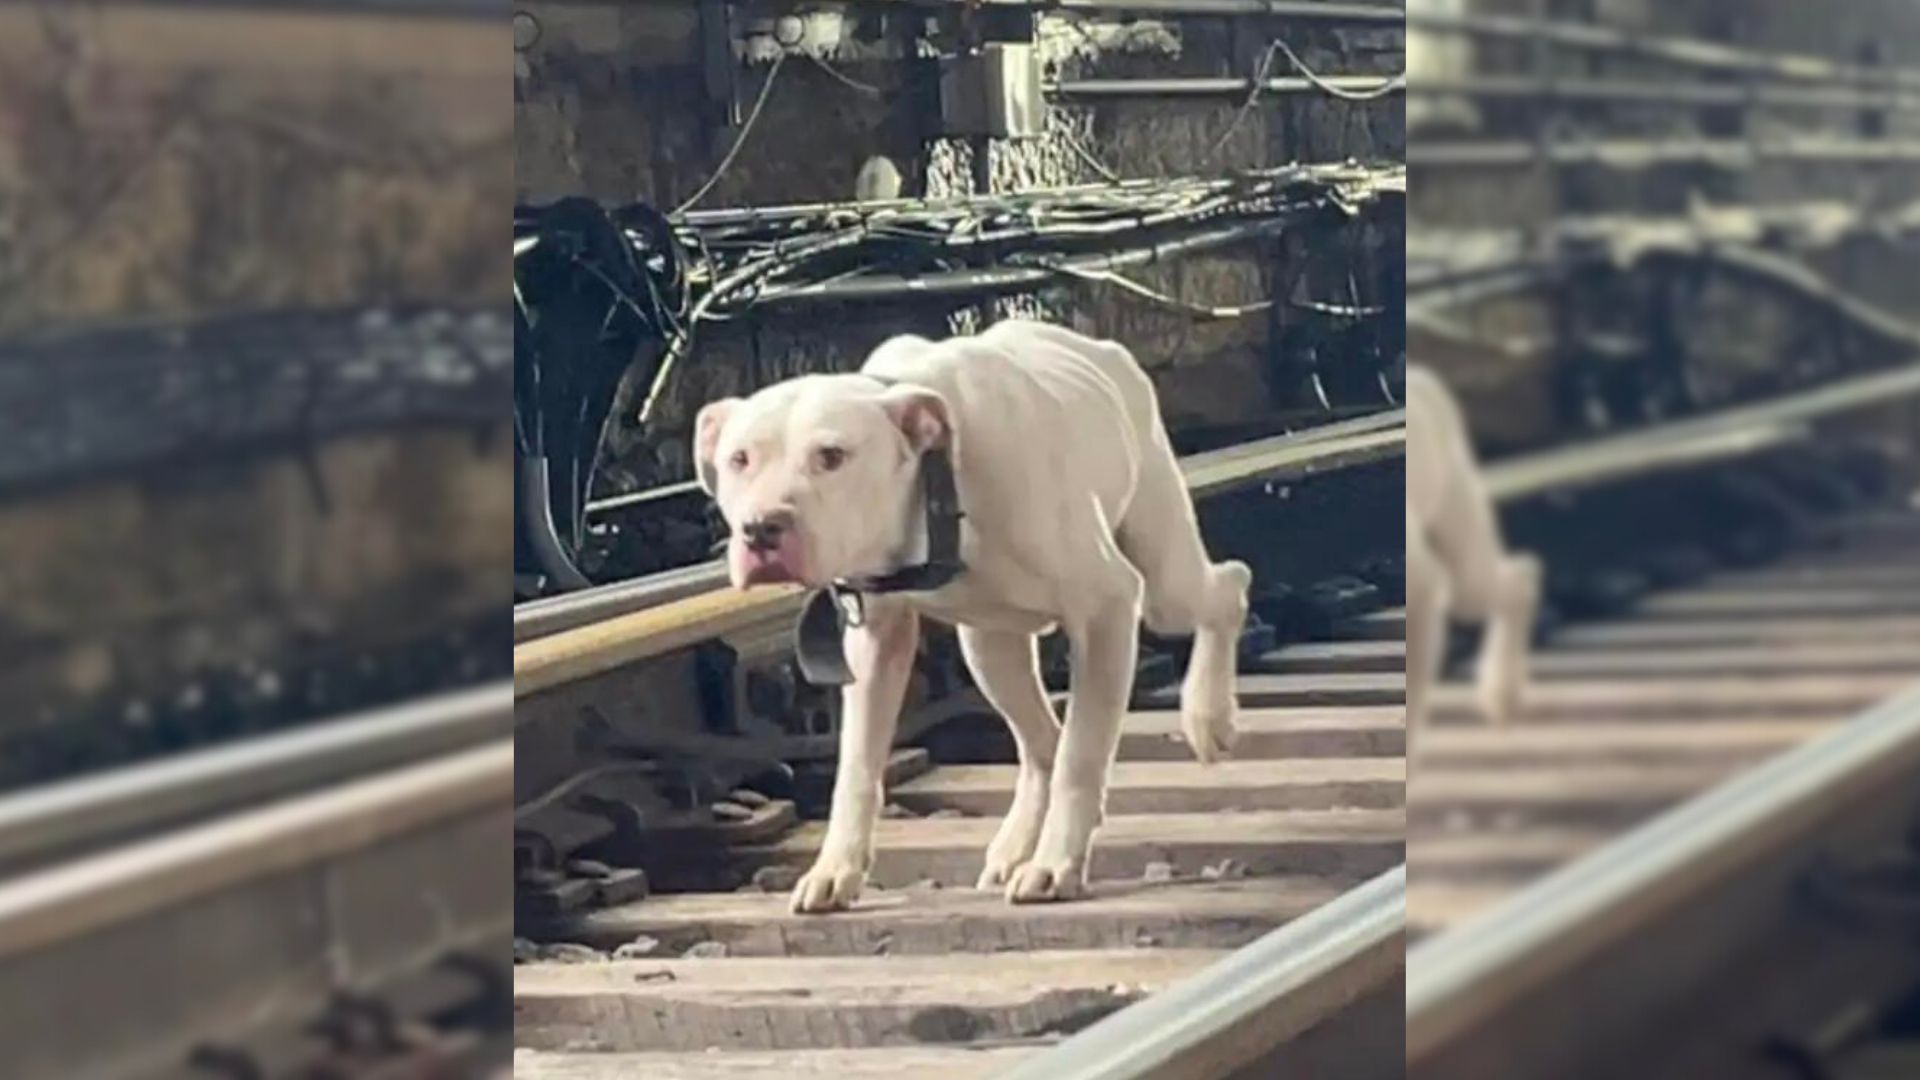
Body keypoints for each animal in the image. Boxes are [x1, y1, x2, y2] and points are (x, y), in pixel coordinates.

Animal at [698, 319, 1251, 907]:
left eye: (832, 455)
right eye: (739, 459)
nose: (761, 527)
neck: (934, 487)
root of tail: (1102, 350)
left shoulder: (1108, 605)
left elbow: (1081, 756)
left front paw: (1056, 865)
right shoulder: (875, 641)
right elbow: (857, 765)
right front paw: (835, 869)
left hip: (1165, 577)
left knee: (1227, 588)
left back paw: (1209, 717)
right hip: (989, 648)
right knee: (1042, 743)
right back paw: (1014, 848)